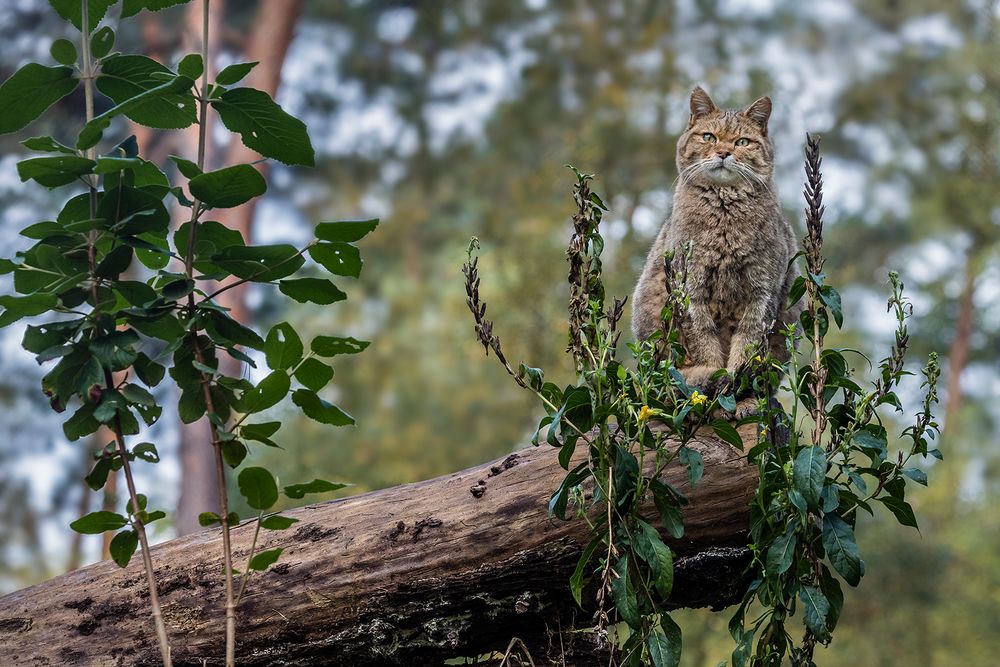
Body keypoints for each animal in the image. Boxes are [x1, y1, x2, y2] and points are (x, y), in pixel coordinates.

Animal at [632, 86, 804, 414]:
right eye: (709, 137)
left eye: (742, 142)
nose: (724, 152)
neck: (724, 217)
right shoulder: (691, 291)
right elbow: (705, 347)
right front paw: (711, 387)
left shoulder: (761, 295)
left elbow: (746, 352)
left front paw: (741, 397)